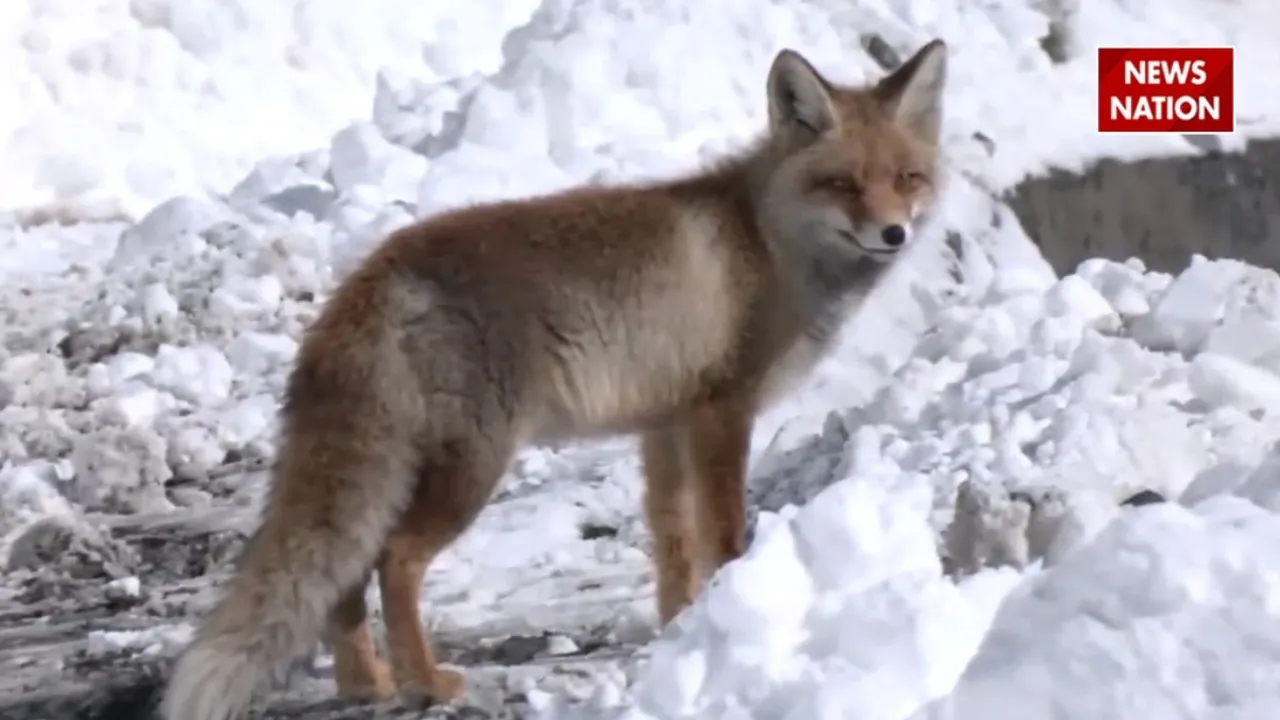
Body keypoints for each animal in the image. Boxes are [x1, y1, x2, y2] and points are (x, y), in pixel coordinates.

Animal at [145, 38, 949, 720]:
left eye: (907, 179)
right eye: (842, 183)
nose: (895, 234)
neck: (768, 240)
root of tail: (375, 272)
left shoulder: (665, 422)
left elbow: (671, 542)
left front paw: (683, 630)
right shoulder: (724, 411)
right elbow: (720, 533)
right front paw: (732, 607)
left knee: (345, 578)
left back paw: (364, 682)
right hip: (473, 466)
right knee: (394, 562)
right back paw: (422, 683)